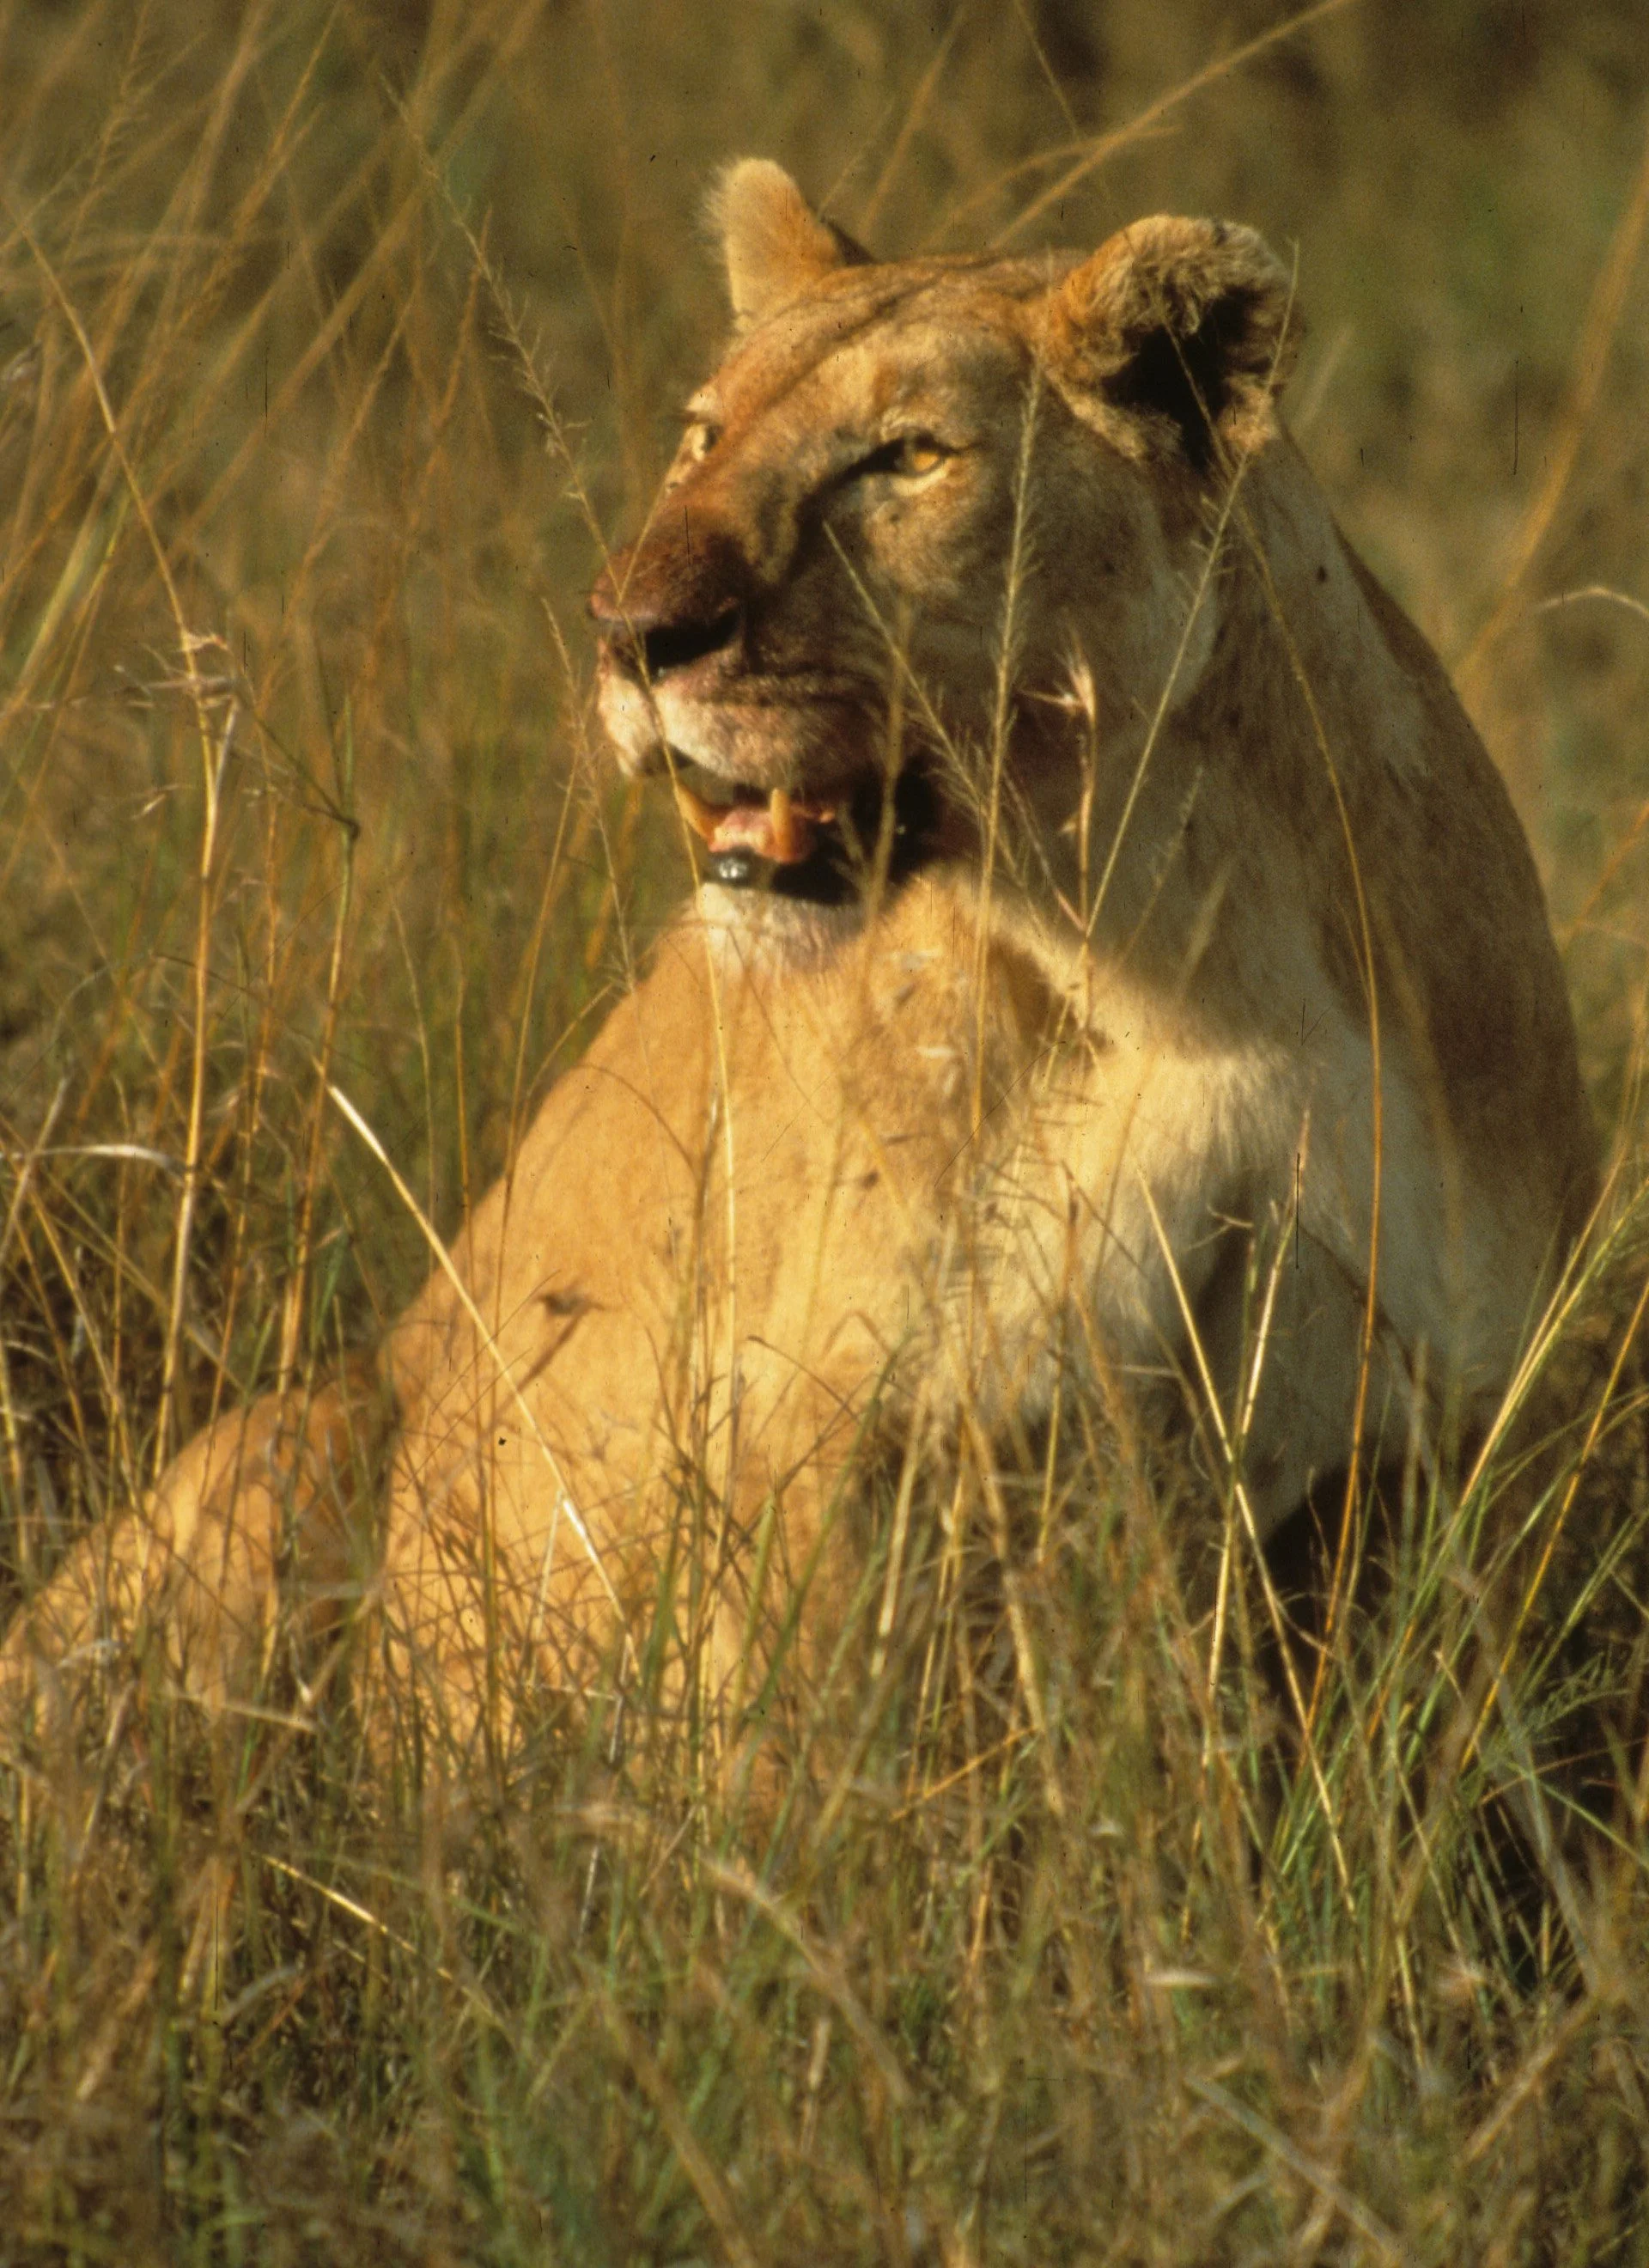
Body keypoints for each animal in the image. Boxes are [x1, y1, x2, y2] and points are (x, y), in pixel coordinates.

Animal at [1, 161, 1597, 1773]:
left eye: (908, 457)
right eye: (704, 435)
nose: (630, 633)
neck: (1185, 949)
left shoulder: (1432, 1448)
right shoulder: (822, 1432)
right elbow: (797, 1767)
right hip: (298, 1437)